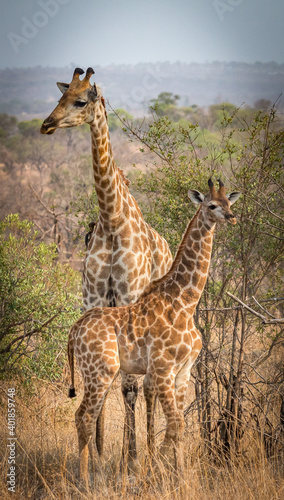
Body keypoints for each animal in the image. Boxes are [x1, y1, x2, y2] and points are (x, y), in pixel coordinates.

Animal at [40, 68, 172, 470]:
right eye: (60, 97)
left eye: (81, 101)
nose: (46, 125)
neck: (112, 220)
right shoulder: (94, 298)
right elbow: (97, 381)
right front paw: (97, 456)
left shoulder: (128, 297)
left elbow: (128, 386)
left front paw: (130, 462)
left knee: (146, 384)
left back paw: (147, 453)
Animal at [67, 178, 241, 482]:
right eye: (212, 205)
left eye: (228, 202)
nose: (231, 217)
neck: (184, 302)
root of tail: (75, 330)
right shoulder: (162, 369)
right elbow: (174, 425)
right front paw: (158, 471)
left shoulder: (183, 371)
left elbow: (178, 426)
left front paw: (175, 475)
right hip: (101, 371)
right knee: (83, 417)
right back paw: (86, 480)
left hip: (95, 373)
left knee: (85, 416)